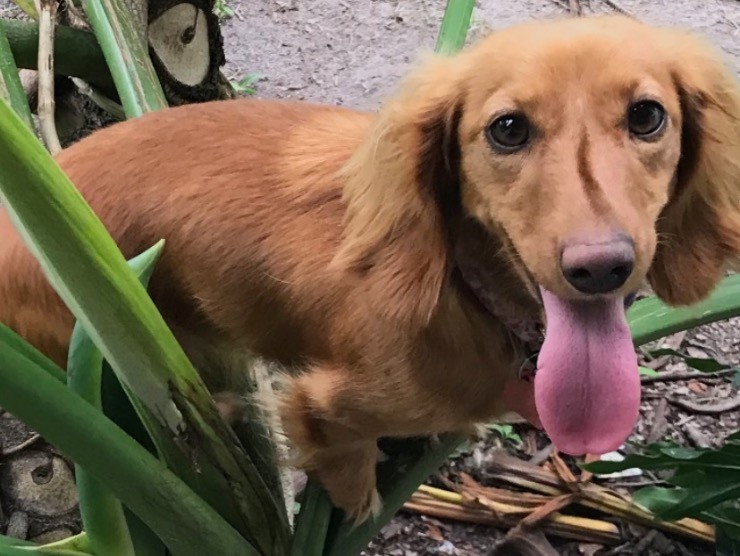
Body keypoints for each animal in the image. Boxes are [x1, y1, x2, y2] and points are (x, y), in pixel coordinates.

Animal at [1, 16, 740, 520]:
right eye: (507, 129)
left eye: (647, 116)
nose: (601, 268)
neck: (466, 295)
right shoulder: (324, 405)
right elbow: (347, 463)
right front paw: (358, 502)